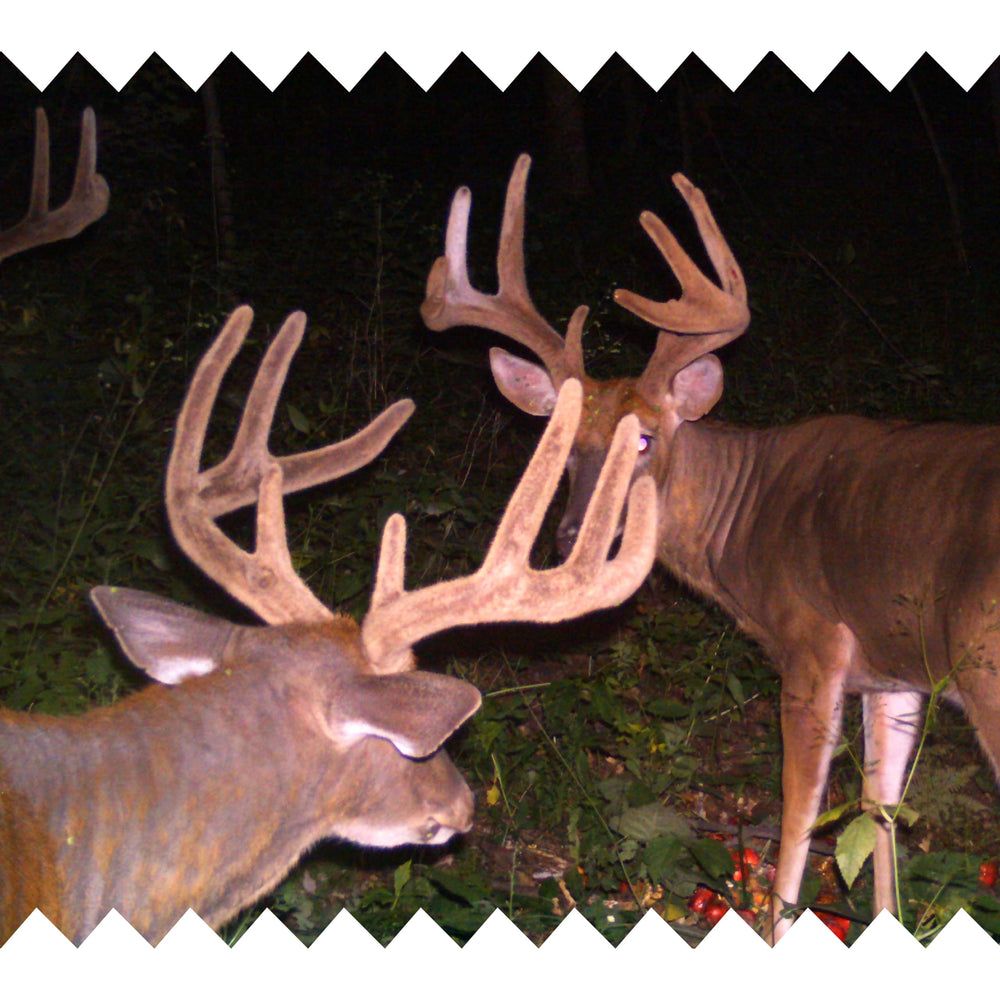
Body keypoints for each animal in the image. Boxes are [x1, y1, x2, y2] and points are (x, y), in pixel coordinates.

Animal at [421, 152, 1000, 943]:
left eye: (644, 439)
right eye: (560, 445)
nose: (571, 540)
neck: (741, 524)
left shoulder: (814, 645)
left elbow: (798, 819)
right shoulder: (894, 670)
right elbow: (880, 816)